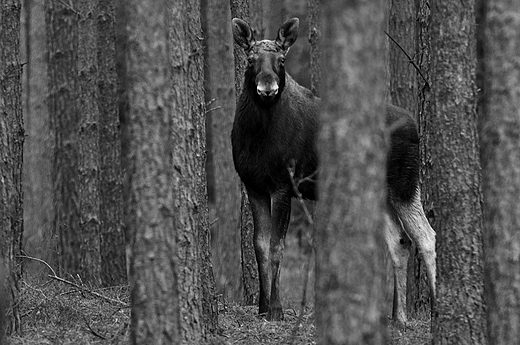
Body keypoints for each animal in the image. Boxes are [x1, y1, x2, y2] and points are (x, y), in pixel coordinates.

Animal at [230, 16, 436, 322]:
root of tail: (415, 128)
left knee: (425, 236)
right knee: (400, 240)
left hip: (405, 183)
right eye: (250, 59)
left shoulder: (283, 185)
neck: (256, 137)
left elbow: (277, 247)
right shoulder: (253, 185)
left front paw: (277, 309)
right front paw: (262, 307)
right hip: (384, 191)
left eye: (281, 60)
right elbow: (260, 245)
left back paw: (435, 310)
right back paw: (398, 318)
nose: (267, 87)